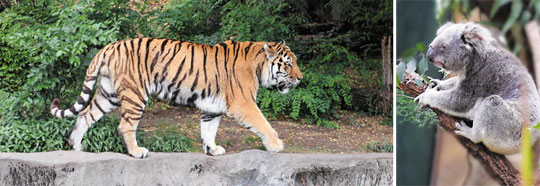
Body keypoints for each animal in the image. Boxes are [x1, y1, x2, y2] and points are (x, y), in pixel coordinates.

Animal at [49, 38, 304, 158]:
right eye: (288, 64)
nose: (300, 78)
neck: (258, 66)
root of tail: (109, 46)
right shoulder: (244, 103)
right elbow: (263, 123)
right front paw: (276, 145)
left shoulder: (212, 107)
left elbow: (208, 130)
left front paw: (212, 150)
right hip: (135, 94)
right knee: (125, 125)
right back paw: (137, 152)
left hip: (107, 94)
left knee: (85, 114)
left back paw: (76, 146)